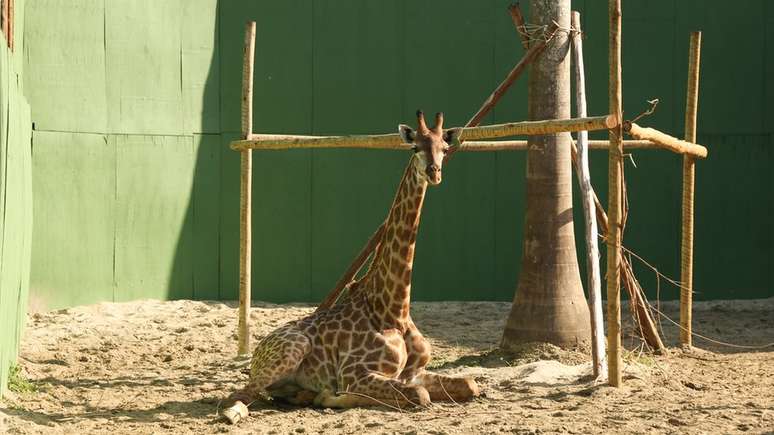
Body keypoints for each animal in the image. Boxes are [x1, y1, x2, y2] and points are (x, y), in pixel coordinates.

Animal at [221, 111, 482, 426]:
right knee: (241, 395)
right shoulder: (356, 373)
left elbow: (470, 384)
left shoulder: (415, 373)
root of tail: (259, 349)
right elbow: (420, 396)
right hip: (294, 348)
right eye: (414, 147)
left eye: (444, 148)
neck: (395, 310)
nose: (434, 173)